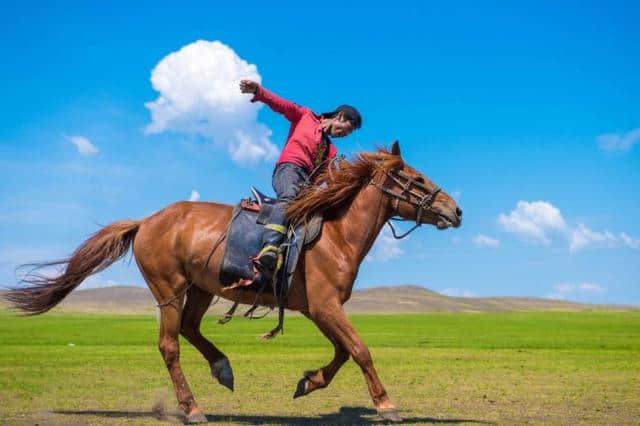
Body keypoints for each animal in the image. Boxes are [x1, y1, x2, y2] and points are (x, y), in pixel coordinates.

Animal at [3, 142, 460, 422]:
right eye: (416, 179)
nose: (456, 211)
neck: (335, 235)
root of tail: (146, 221)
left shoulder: (320, 309)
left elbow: (344, 352)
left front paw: (308, 383)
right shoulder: (325, 306)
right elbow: (361, 351)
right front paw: (386, 405)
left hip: (201, 289)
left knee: (190, 330)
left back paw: (223, 369)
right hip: (169, 291)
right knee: (170, 345)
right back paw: (192, 409)